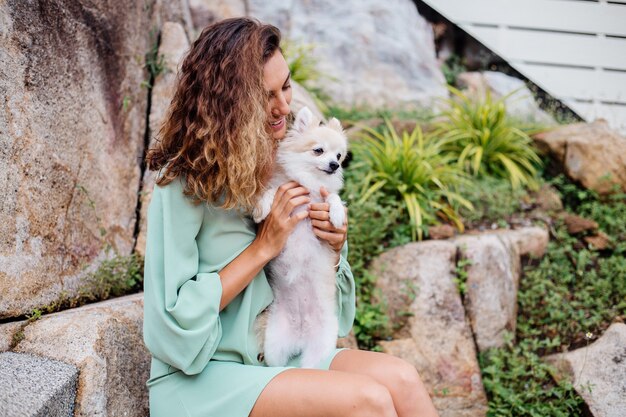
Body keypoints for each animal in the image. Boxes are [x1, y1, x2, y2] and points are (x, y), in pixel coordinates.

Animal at [252, 105, 348, 366]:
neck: (310, 183)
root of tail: (301, 336)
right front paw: (261, 209)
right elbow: (272, 191)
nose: (334, 165)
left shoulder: (322, 197)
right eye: (318, 150)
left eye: (339, 156)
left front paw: (337, 215)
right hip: (275, 347)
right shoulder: (284, 187)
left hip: (318, 349)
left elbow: (333, 197)